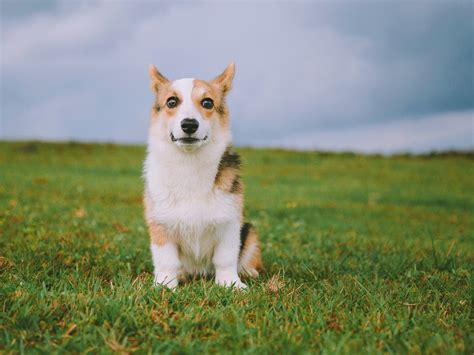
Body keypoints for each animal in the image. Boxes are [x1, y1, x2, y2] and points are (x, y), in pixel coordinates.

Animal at [144, 62, 262, 290]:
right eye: (171, 101)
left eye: (207, 102)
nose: (189, 124)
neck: (190, 163)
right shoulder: (160, 226)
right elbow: (166, 261)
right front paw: (165, 286)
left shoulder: (230, 223)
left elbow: (226, 258)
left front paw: (231, 284)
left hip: (250, 232)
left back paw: (248, 272)